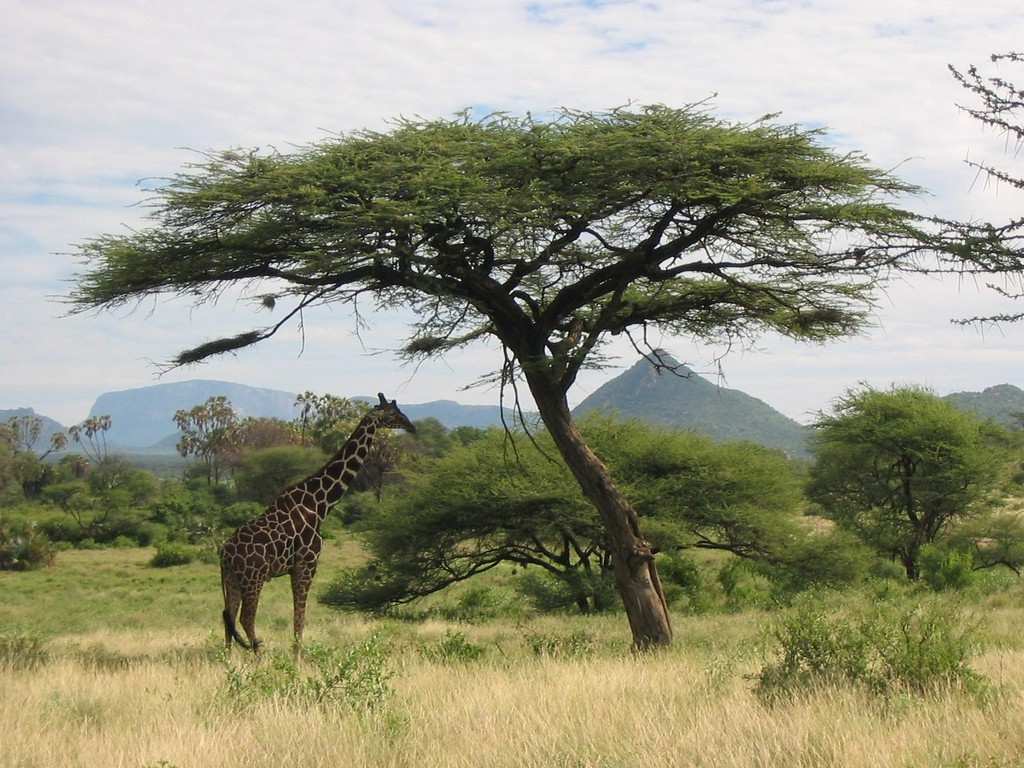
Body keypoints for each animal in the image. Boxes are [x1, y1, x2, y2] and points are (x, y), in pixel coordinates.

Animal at [220, 393, 415, 651]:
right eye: (393, 414)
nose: (411, 426)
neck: (320, 505)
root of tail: (224, 553)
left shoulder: (296, 567)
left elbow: (297, 620)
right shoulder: (307, 563)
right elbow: (299, 621)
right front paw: (298, 660)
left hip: (231, 578)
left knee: (228, 619)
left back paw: (229, 660)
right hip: (254, 577)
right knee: (245, 619)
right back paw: (259, 655)